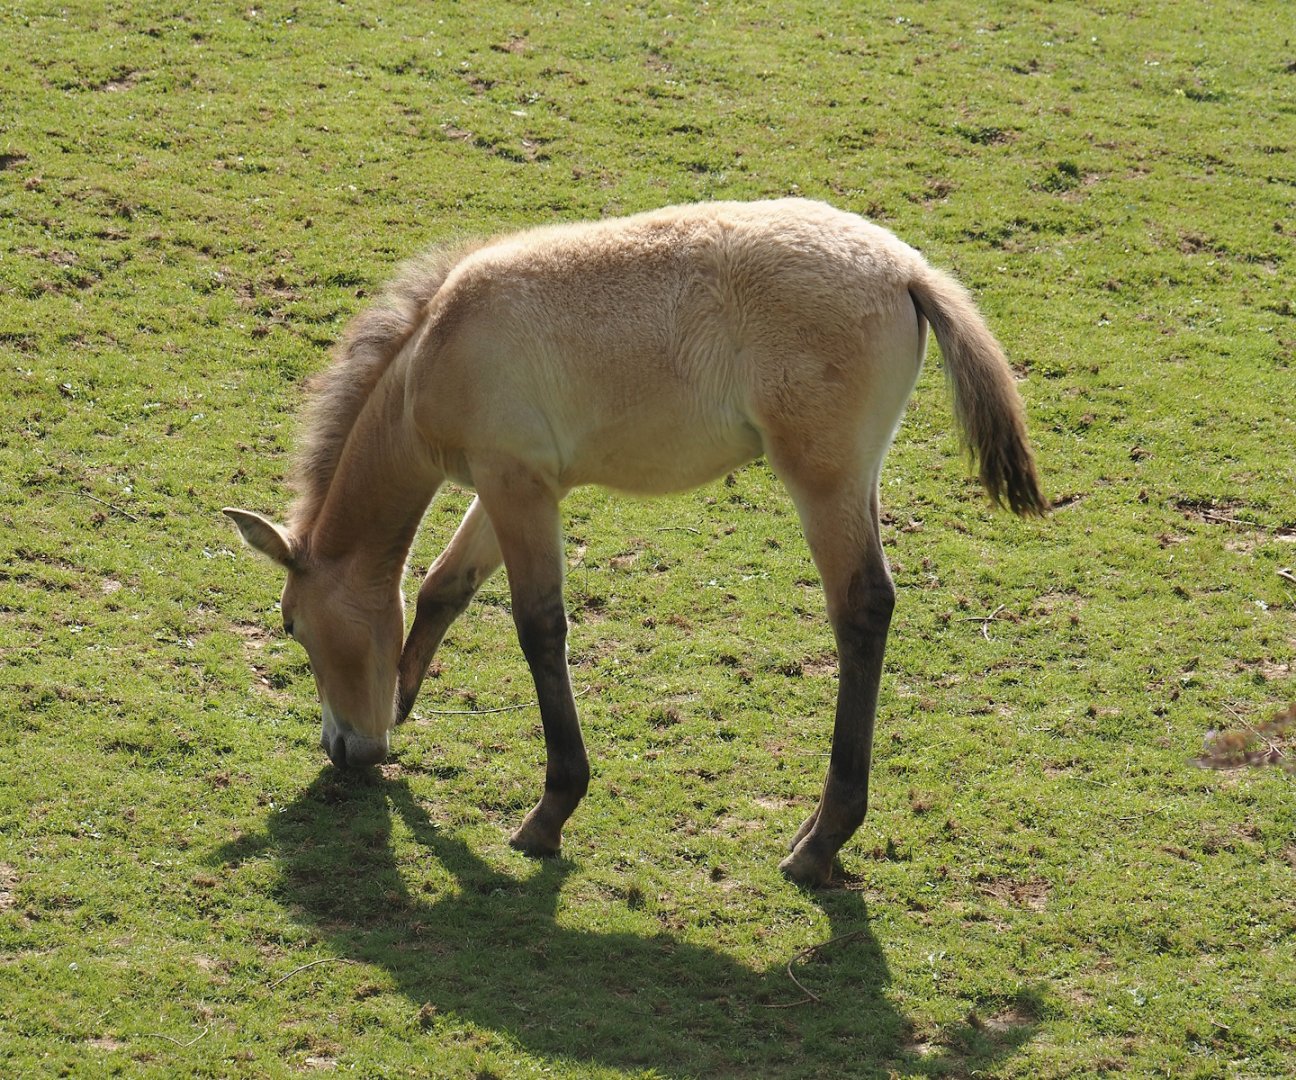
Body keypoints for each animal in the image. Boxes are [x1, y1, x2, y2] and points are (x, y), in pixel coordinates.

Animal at [225, 197, 1047, 886]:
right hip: (857, 479)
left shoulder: (515, 485)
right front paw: (402, 703)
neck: (435, 345)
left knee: (862, 609)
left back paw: (819, 844)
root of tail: (908, 270)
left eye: (291, 625)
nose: (344, 751)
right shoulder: (514, 486)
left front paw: (549, 814)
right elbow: (441, 587)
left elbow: (539, 628)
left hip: (822, 482)